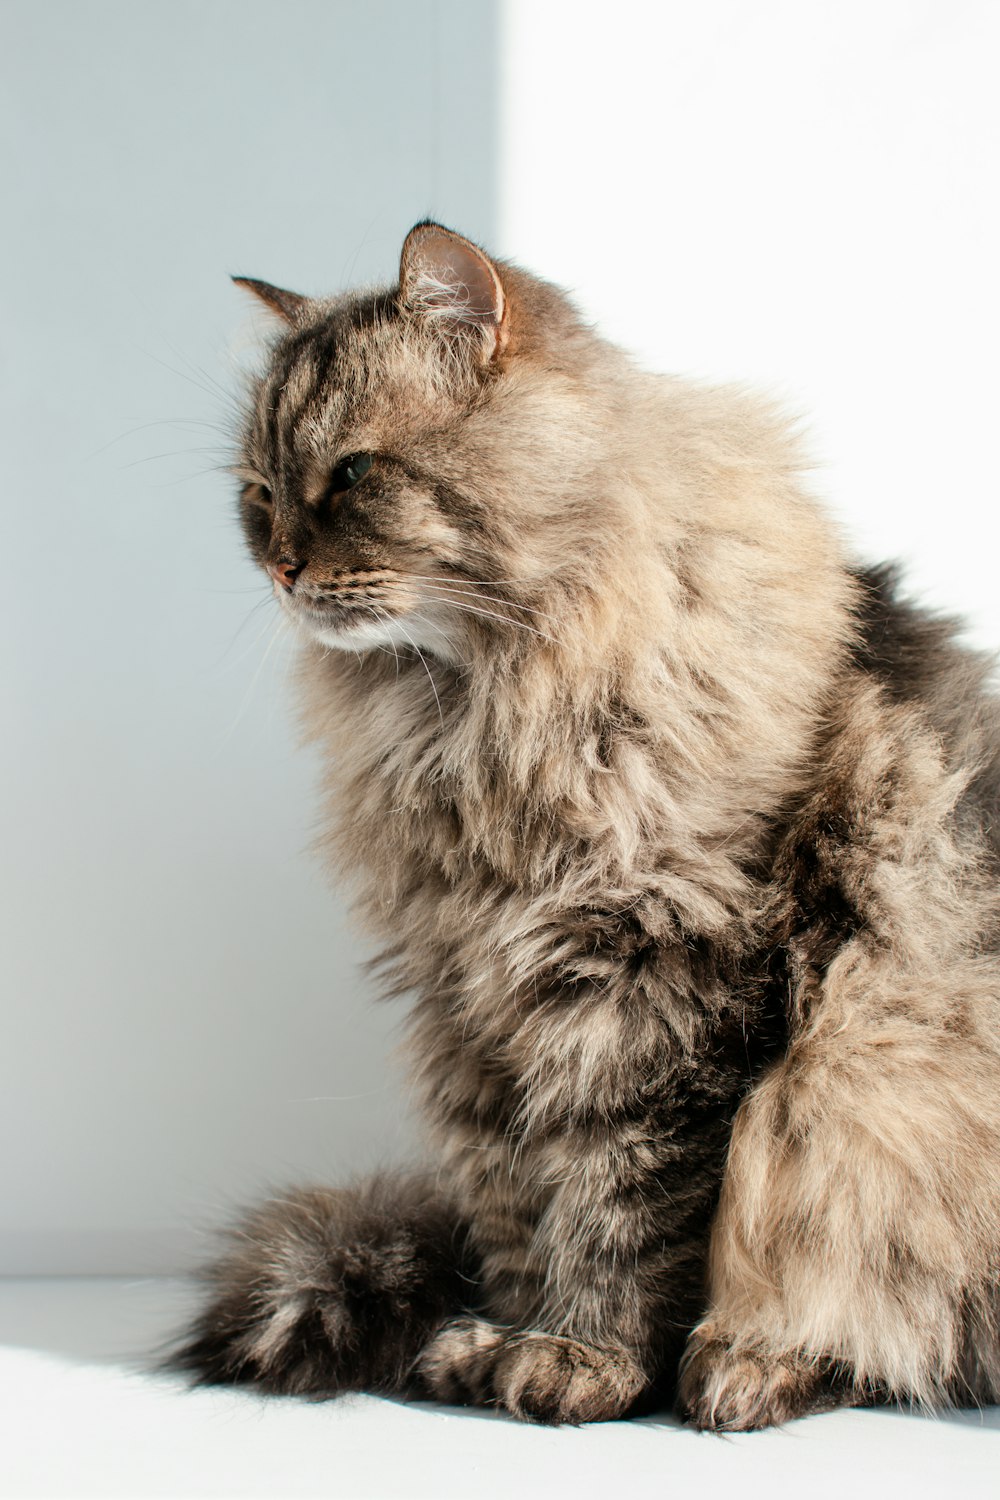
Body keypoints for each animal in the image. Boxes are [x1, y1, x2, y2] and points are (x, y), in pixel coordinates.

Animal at [172, 217, 1000, 1422]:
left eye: (356, 473)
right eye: (257, 492)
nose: (279, 566)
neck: (471, 714)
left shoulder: (656, 982)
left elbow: (623, 1201)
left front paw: (586, 1357)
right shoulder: (471, 1004)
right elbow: (520, 1197)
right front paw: (504, 1339)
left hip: (875, 1072)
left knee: (890, 1310)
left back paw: (748, 1367)